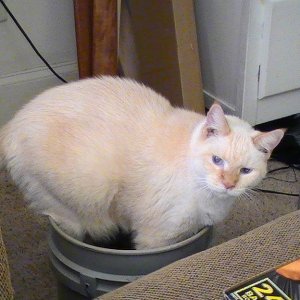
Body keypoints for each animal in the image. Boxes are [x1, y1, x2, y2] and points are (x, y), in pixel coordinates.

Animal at [0, 77, 284, 248]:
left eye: (245, 171)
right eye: (217, 160)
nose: (228, 185)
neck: (212, 199)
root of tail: (13, 123)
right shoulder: (156, 239)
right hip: (83, 202)